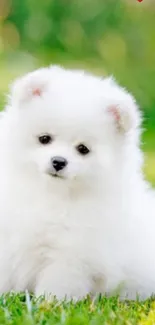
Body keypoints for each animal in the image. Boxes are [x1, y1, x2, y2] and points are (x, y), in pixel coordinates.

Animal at [0, 64, 154, 300]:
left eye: (83, 149)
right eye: (44, 138)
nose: (58, 161)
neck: (51, 194)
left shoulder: (72, 254)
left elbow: (58, 282)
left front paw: (49, 303)